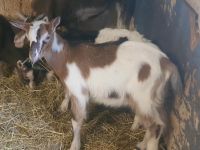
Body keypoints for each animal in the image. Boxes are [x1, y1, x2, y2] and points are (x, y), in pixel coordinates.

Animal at [10, 16, 182, 150]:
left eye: (47, 37)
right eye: (28, 37)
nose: (32, 56)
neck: (67, 56)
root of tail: (166, 63)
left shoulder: (79, 93)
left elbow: (76, 121)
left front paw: (74, 145)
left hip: (144, 96)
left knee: (156, 126)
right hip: (152, 98)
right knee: (156, 123)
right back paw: (141, 142)